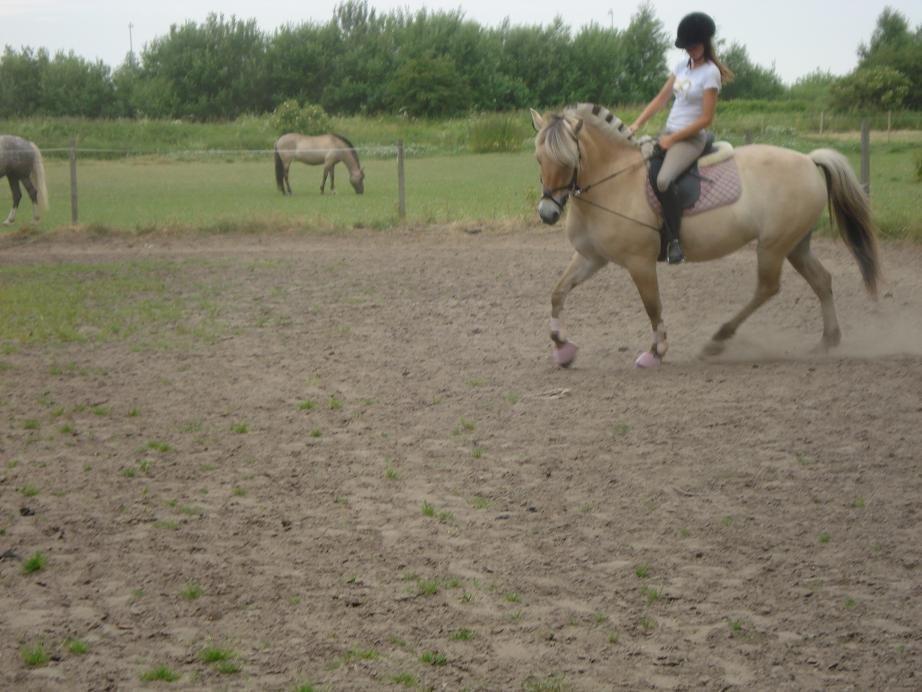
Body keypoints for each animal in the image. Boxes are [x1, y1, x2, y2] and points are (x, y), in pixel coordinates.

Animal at [528, 102, 880, 368]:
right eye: (538, 158)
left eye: (569, 160)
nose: (548, 213)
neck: (614, 181)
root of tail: (808, 159)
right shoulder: (592, 257)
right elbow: (557, 293)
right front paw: (562, 348)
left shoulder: (640, 262)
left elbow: (652, 306)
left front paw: (655, 353)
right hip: (796, 245)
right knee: (821, 280)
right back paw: (828, 340)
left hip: (773, 246)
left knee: (767, 288)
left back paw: (718, 340)